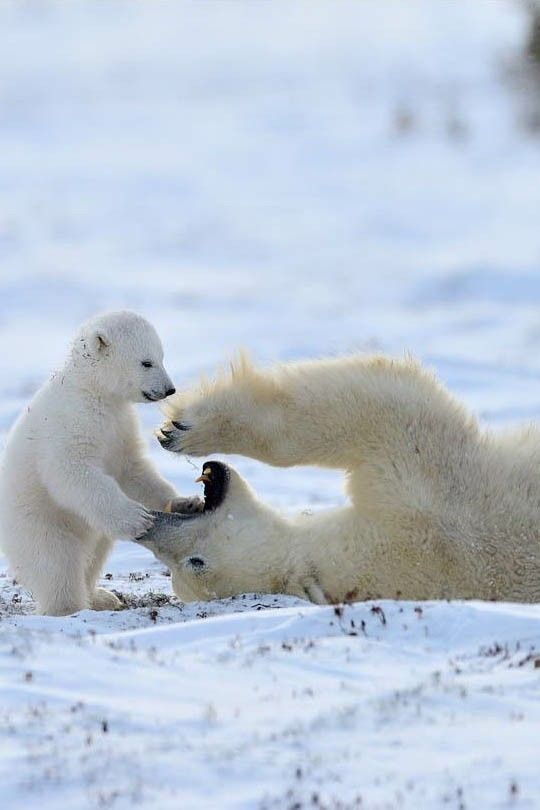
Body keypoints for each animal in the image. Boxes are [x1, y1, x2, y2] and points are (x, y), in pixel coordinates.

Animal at [0, 310, 179, 612]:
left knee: (94, 555)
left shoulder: (120, 426)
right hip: (36, 521)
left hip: (89, 531)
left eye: (162, 356)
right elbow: (72, 472)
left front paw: (184, 502)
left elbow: (133, 470)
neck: (91, 389)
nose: (169, 389)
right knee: (55, 562)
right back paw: (68, 606)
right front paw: (138, 519)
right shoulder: (71, 422)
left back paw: (102, 597)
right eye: (147, 362)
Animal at [137, 350, 540, 604]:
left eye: (195, 563)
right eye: (176, 574)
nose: (149, 530)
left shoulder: (426, 497)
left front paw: (183, 428)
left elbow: (386, 404)